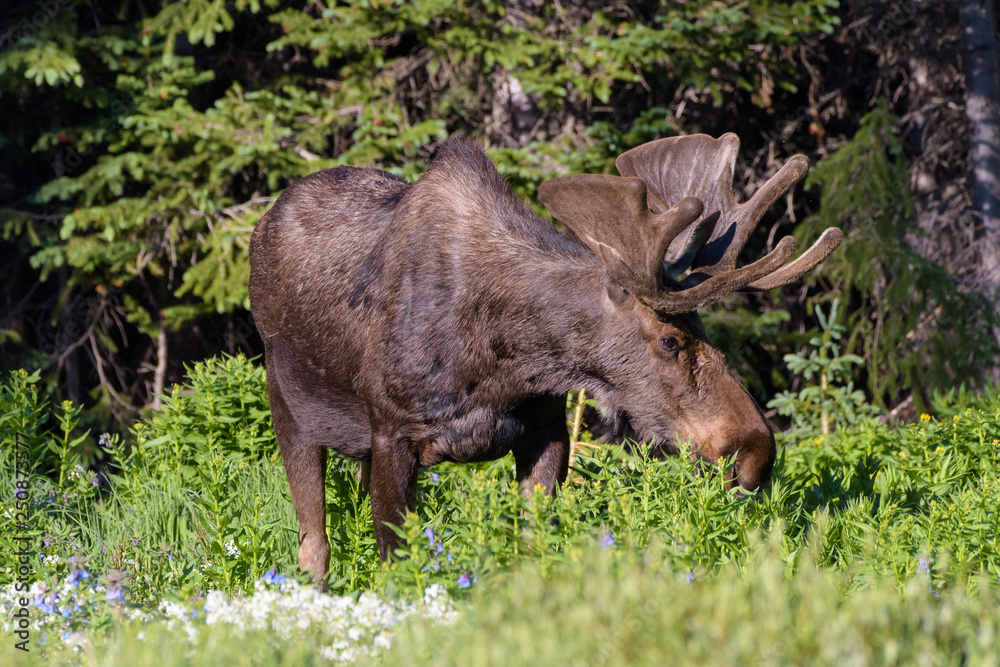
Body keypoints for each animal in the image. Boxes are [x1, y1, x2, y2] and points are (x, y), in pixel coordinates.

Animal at [248, 132, 842, 578]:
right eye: (670, 341)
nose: (755, 453)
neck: (505, 360)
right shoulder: (394, 433)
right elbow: (397, 564)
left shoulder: (547, 427)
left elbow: (532, 546)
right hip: (290, 404)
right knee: (313, 544)